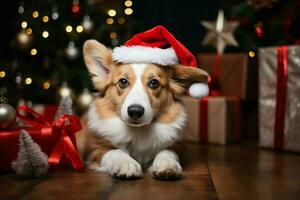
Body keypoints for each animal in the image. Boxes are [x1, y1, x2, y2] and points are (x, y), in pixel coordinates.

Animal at [77, 39, 209, 180]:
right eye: (123, 82)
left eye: (154, 83)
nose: (135, 111)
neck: (138, 131)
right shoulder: (97, 149)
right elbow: (114, 151)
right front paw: (126, 163)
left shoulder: (178, 146)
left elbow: (167, 151)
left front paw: (167, 165)